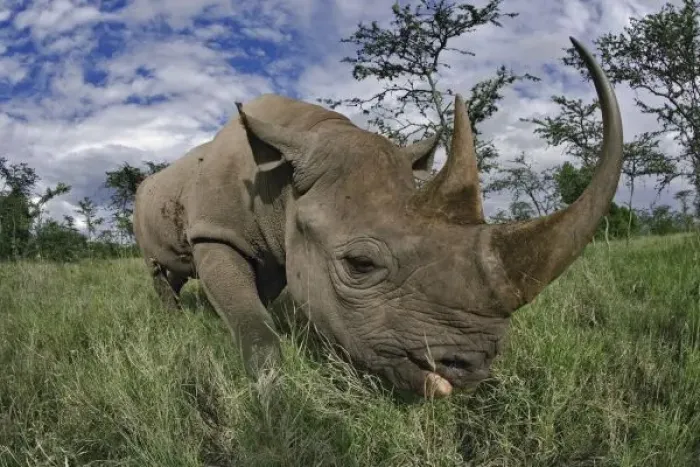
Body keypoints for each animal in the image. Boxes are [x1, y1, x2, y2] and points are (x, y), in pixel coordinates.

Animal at [133, 37, 623, 398]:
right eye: (360, 264)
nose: (471, 366)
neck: (283, 187)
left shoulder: (276, 246)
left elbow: (262, 299)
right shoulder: (217, 233)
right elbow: (255, 327)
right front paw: (273, 393)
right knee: (159, 266)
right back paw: (174, 319)